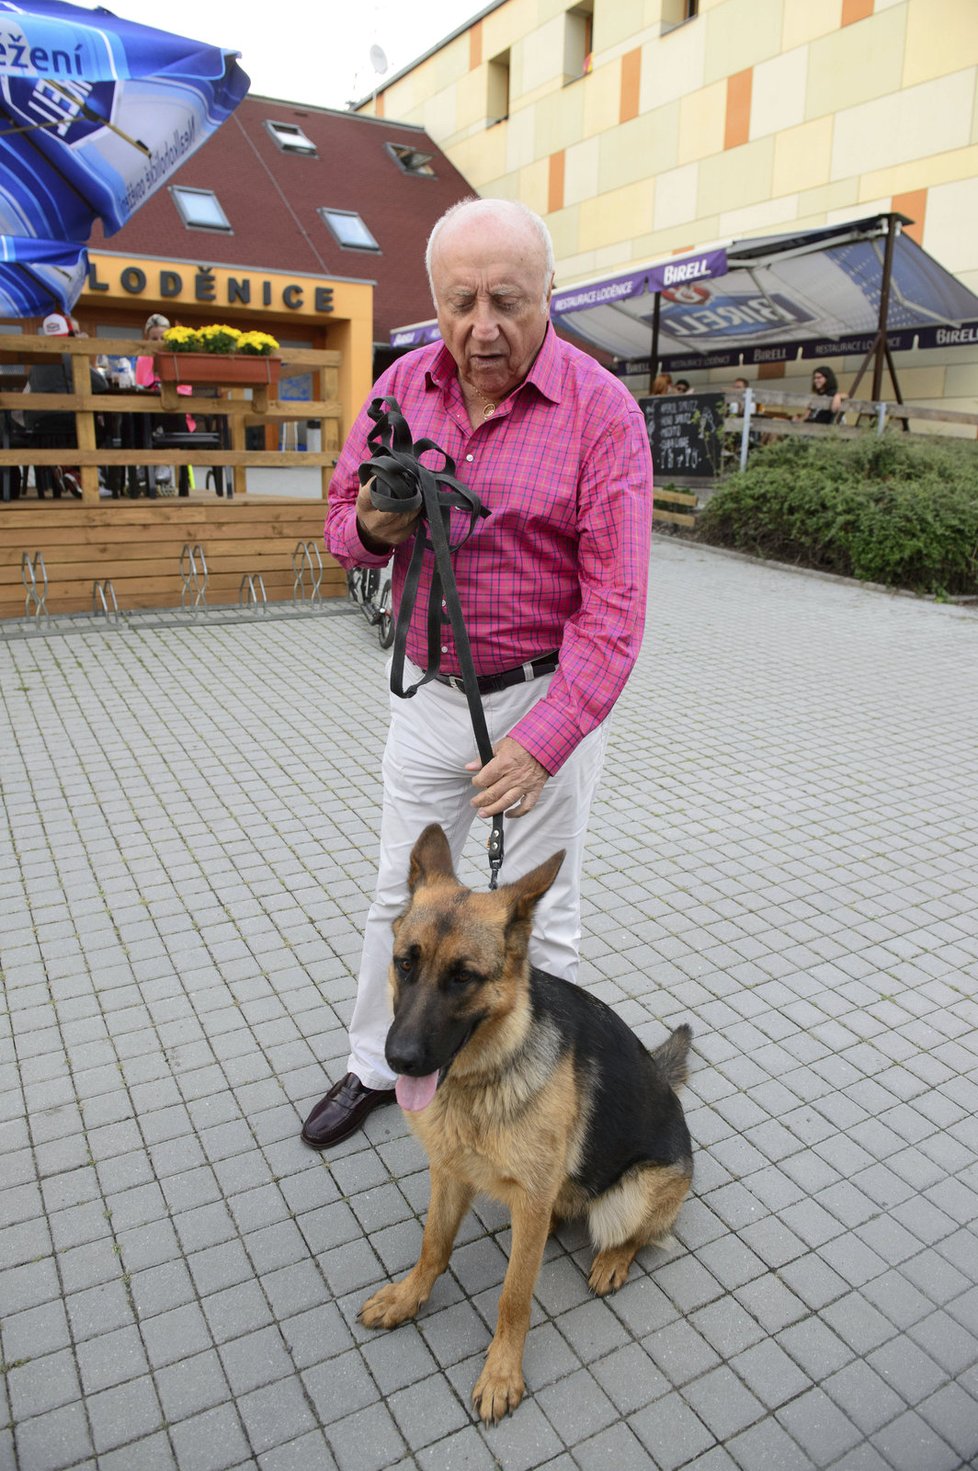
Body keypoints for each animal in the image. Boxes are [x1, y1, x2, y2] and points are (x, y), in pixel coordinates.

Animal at [360, 823, 694, 1418]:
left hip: (630, 1197)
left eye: (463, 977)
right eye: (405, 963)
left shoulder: (530, 1199)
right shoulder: (449, 1173)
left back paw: (613, 1258)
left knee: (642, 1233)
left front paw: (501, 1372)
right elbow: (433, 1246)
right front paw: (408, 1297)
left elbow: (514, 1296)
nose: (398, 1060)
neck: (483, 1076)